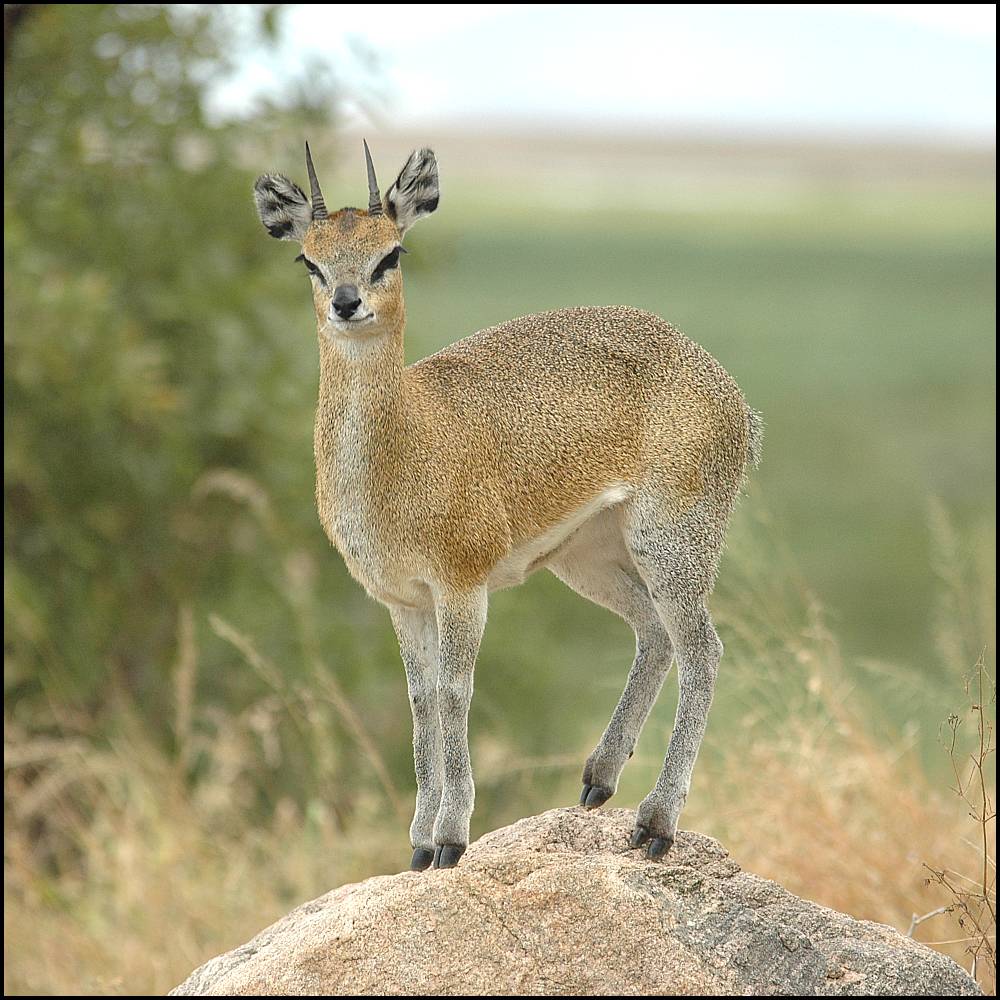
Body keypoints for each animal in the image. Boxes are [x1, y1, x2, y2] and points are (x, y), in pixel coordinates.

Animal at [253, 141, 762, 871]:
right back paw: (598, 779)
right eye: (309, 259)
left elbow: (455, 692)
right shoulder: (402, 600)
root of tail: (730, 393)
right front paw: (417, 843)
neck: (409, 439)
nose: (347, 303)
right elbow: (420, 704)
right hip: (589, 558)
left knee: (704, 650)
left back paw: (656, 824)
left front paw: (450, 837)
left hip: (671, 544)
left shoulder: (462, 586)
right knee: (655, 633)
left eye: (391, 253)